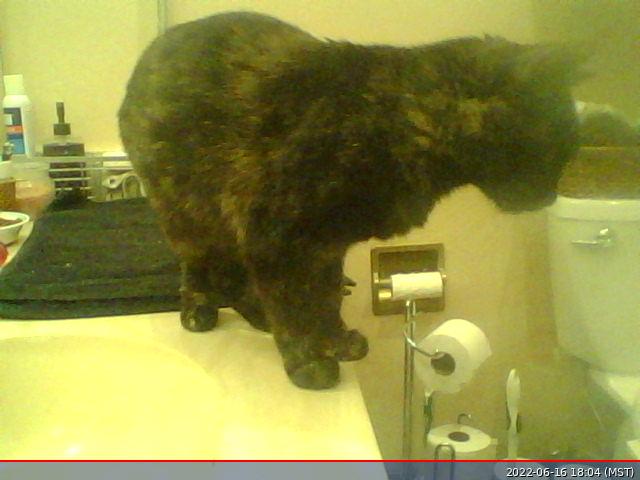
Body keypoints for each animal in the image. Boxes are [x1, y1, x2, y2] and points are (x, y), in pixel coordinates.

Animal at [119, 11, 583, 389]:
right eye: (553, 149)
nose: (551, 195)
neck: (403, 119)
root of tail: (155, 47)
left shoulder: (327, 243)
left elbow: (324, 296)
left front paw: (335, 341)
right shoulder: (274, 237)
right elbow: (294, 307)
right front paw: (307, 363)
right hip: (190, 210)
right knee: (206, 267)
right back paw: (200, 311)